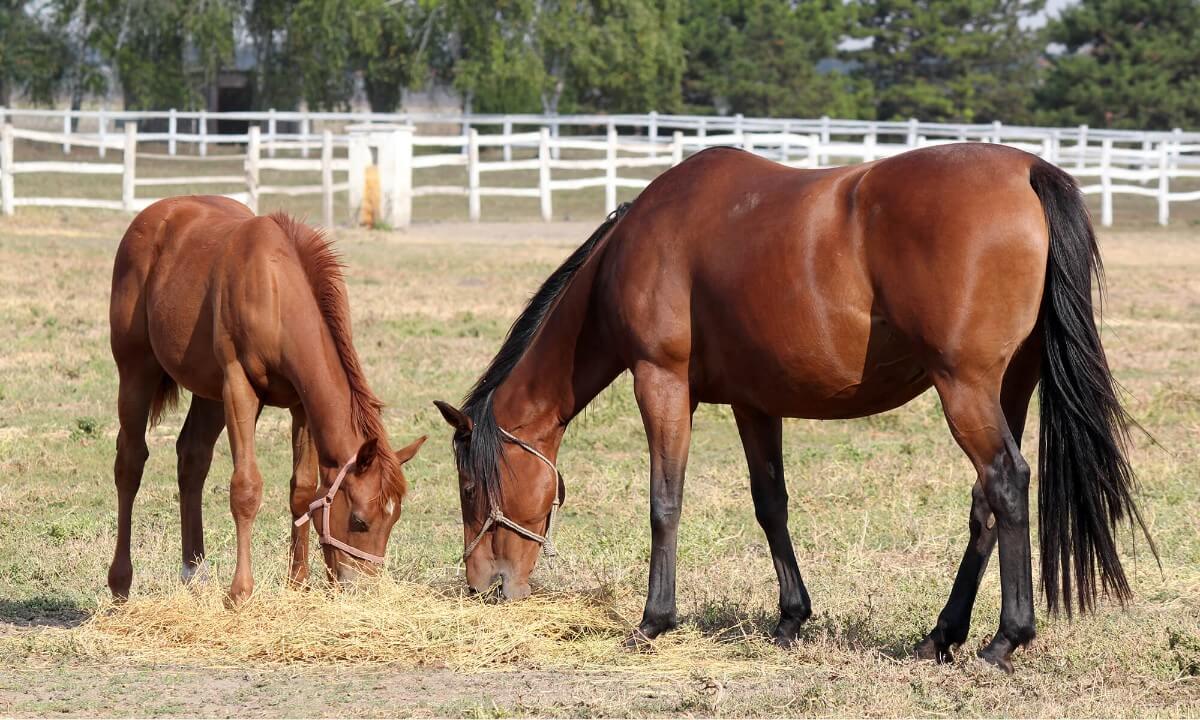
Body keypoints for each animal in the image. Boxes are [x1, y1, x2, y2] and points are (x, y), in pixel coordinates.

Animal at [108, 196, 426, 604]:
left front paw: (298, 582)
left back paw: (194, 573)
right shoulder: (239, 387)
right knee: (130, 462)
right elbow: (246, 487)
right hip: (137, 370)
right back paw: (120, 583)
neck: (276, 289)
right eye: (359, 520)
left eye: (394, 517)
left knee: (192, 459)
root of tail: (155, 213)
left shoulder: (301, 404)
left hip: (209, 394)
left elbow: (303, 490)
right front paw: (240, 593)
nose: (364, 589)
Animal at [434, 142, 1154, 672]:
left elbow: (664, 502)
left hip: (966, 387)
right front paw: (790, 619)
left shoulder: (661, 383)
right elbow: (770, 505)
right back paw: (940, 636)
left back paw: (1004, 639)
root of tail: (1028, 172)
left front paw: (652, 622)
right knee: (986, 500)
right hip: (1006, 388)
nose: (482, 584)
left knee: (1005, 482)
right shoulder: (754, 403)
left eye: (470, 486)